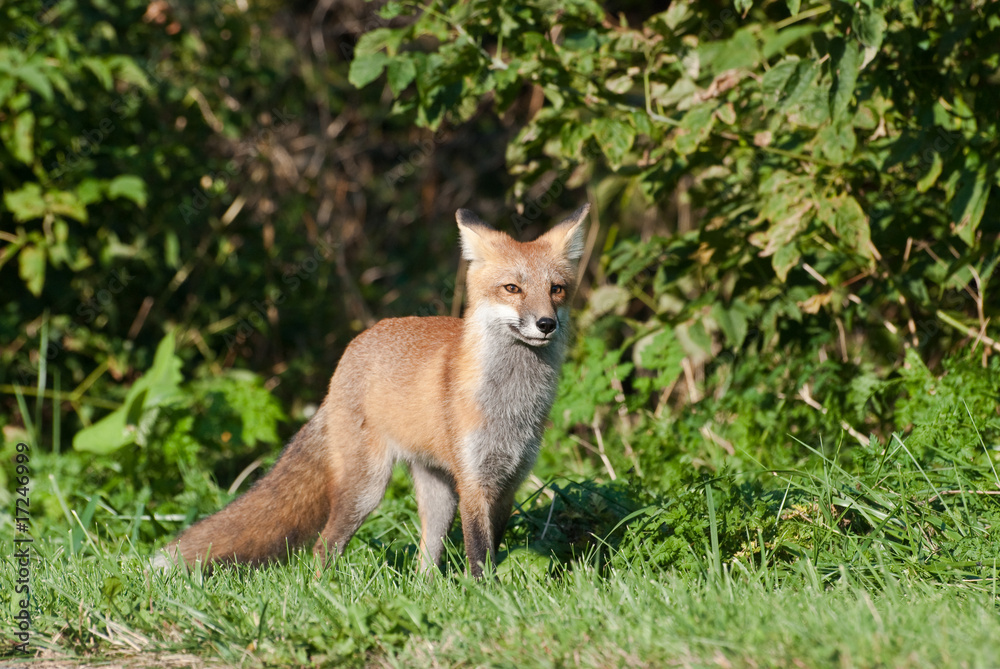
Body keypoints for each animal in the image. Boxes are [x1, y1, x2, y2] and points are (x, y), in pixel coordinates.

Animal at [160, 204, 588, 576]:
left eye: (557, 289)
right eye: (512, 288)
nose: (546, 324)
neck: (511, 404)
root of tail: (353, 348)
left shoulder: (510, 480)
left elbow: (492, 549)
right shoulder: (474, 482)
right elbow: (479, 555)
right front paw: (485, 595)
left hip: (438, 495)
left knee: (424, 559)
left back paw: (426, 591)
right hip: (366, 489)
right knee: (324, 547)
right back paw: (325, 590)